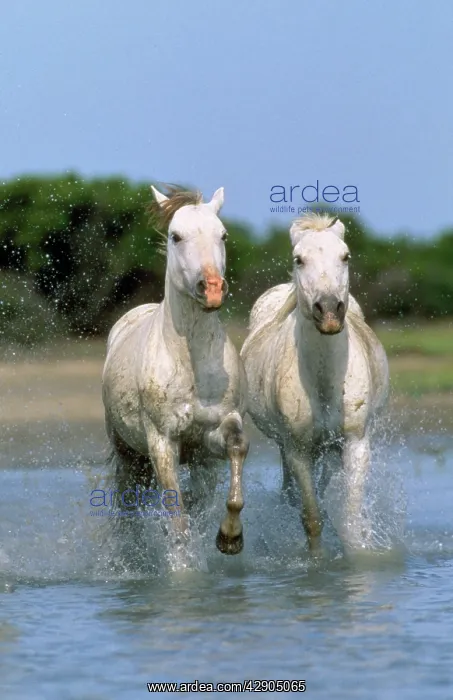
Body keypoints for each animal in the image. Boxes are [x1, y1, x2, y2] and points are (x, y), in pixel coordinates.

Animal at [101, 185, 249, 557]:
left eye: (223, 234)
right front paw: (182, 567)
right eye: (175, 236)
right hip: (127, 453)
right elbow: (177, 516)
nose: (212, 288)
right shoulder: (162, 442)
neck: (191, 362)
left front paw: (230, 537)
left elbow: (237, 448)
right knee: (127, 504)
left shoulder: (211, 437)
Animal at [240, 212, 389, 553]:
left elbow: (349, 516)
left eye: (345, 256)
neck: (323, 383)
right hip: (287, 446)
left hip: (330, 447)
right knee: (292, 492)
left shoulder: (354, 442)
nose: (330, 310)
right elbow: (311, 517)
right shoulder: (298, 450)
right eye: (299, 259)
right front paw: (317, 563)